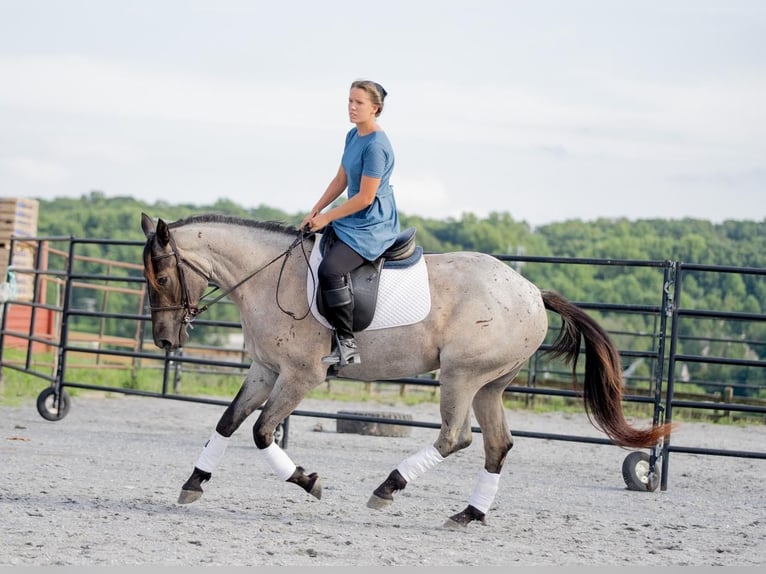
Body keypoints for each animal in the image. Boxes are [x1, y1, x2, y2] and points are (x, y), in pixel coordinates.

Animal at [142, 214, 672, 528]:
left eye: (162, 276)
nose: (166, 341)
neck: (272, 276)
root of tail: (531, 291)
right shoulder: (265, 370)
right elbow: (228, 422)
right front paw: (193, 484)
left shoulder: (300, 375)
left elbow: (261, 432)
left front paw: (309, 482)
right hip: (489, 385)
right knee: (497, 445)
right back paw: (469, 513)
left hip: (460, 375)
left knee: (455, 438)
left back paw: (387, 488)